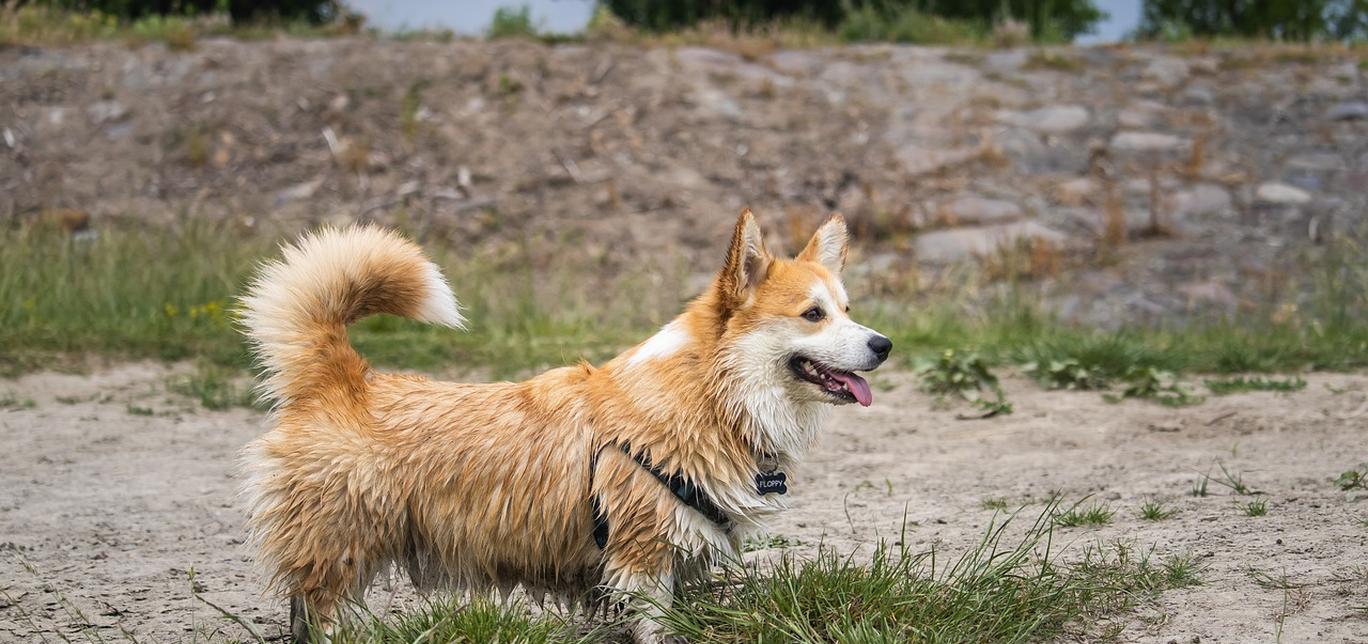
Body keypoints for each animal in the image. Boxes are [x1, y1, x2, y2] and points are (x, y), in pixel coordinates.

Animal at [240, 209, 891, 642]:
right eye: (812, 314)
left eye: (848, 310)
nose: (884, 345)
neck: (711, 394)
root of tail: (342, 376)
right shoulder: (642, 557)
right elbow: (655, 627)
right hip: (341, 546)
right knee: (320, 611)